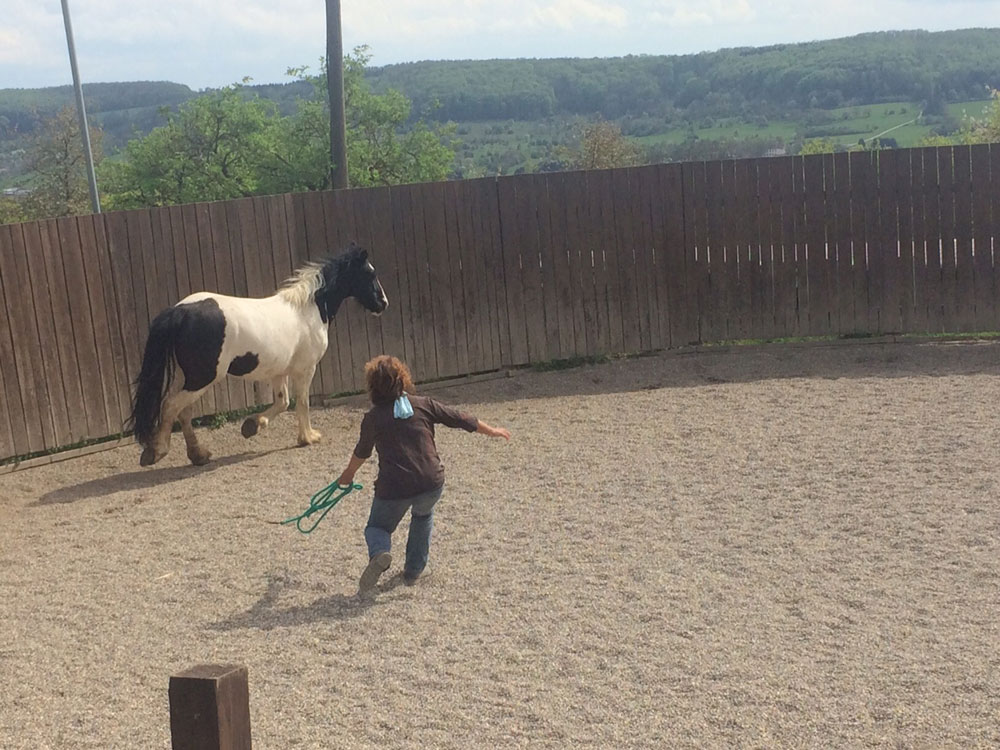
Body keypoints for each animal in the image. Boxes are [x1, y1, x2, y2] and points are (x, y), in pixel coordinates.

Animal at [126, 243, 388, 467]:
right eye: (370, 274)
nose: (382, 303)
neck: (309, 308)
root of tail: (180, 311)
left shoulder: (279, 372)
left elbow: (283, 402)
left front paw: (251, 426)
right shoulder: (305, 369)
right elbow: (302, 402)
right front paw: (308, 437)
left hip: (189, 378)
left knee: (184, 412)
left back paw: (198, 455)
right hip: (203, 378)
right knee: (171, 405)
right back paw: (157, 452)